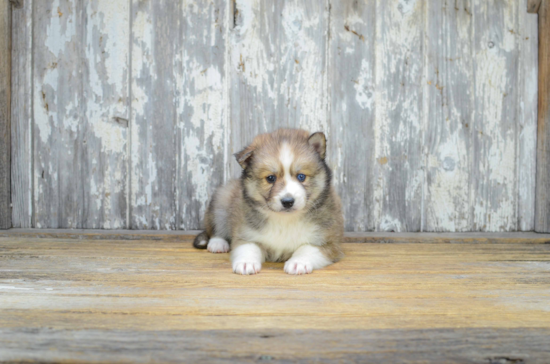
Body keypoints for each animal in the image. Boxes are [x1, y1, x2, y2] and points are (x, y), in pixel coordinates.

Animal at [192, 129, 342, 274]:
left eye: (301, 176)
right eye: (270, 178)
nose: (288, 202)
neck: (285, 220)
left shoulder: (328, 242)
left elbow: (307, 249)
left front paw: (298, 263)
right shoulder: (246, 234)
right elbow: (248, 248)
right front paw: (246, 263)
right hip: (221, 201)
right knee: (216, 227)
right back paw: (218, 244)